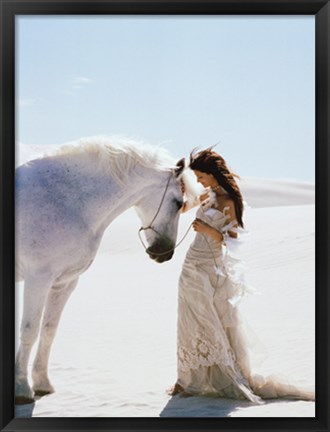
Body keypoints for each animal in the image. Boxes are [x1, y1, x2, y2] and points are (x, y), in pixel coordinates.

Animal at [15, 138, 187, 404]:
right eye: (179, 203)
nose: (164, 253)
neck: (66, 201)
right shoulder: (38, 280)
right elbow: (29, 331)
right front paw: (22, 388)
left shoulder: (64, 283)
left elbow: (48, 331)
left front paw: (42, 383)